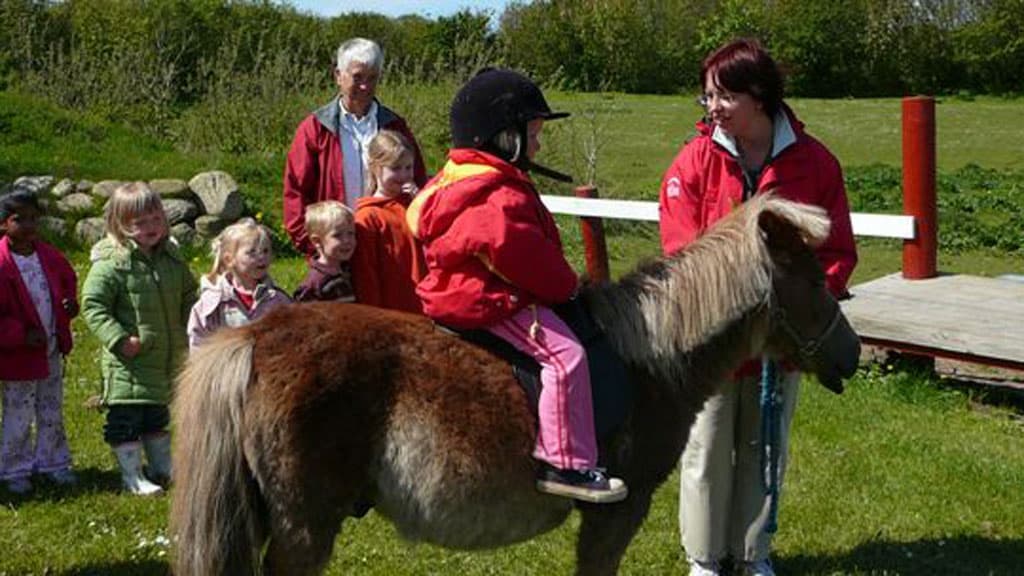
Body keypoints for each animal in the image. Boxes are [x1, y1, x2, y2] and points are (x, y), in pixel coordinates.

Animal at [170, 194, 861, 576]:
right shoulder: (619, 510)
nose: (852, 355)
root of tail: (253, 340)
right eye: (816, 281)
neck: (651, 354)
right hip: (302, 529)